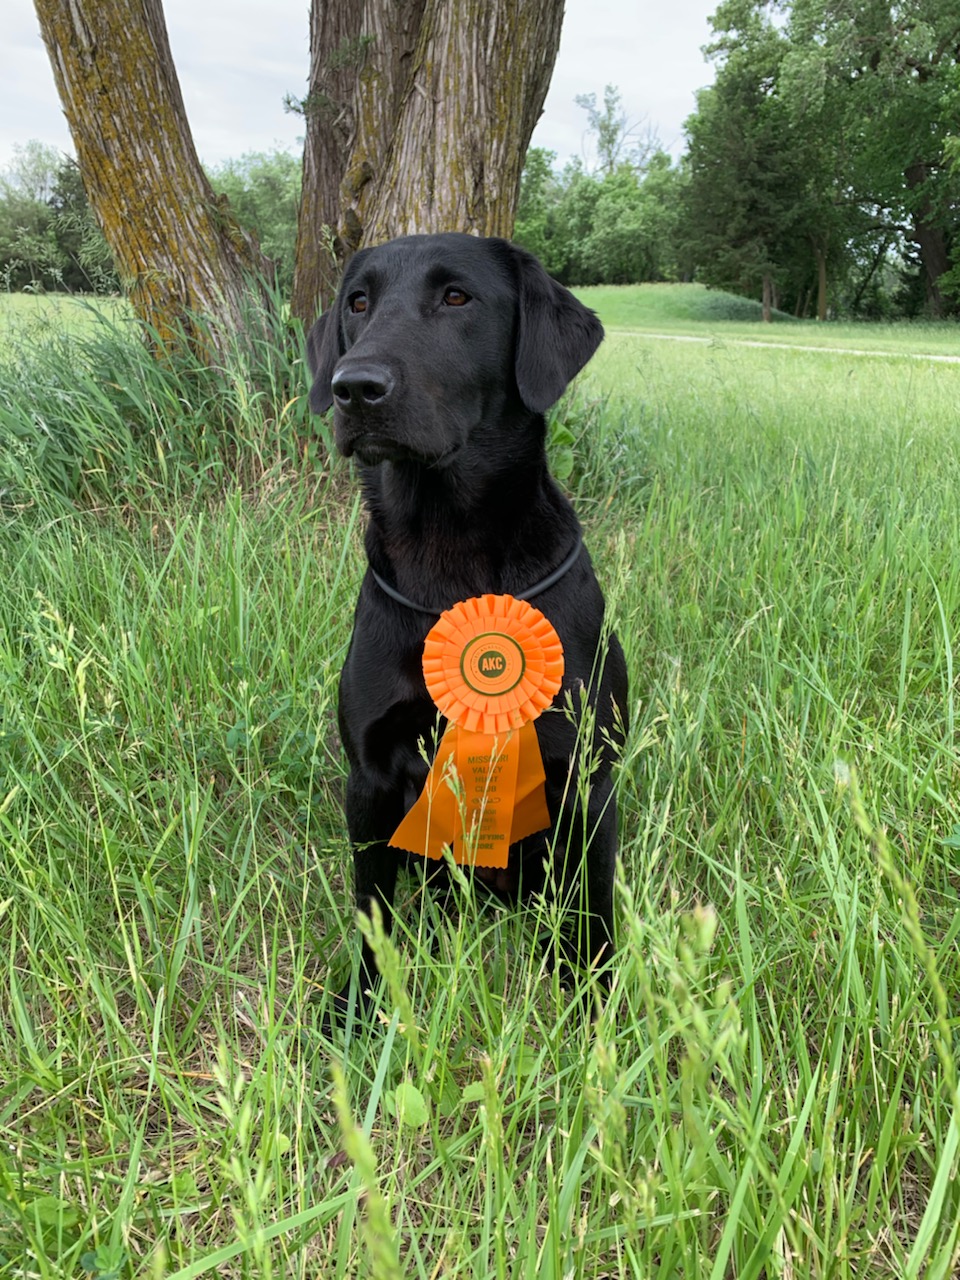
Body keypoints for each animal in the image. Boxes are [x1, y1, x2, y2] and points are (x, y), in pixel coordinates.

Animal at [304, 232, 627, 1018]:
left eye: (457, 297)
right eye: (358, 302)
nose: (354, 388)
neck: (449, 553)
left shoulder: (586, 776)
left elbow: (594, 904)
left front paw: (596, 1001)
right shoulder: (371, 777)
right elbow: (372, 908)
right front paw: (363, 1003)